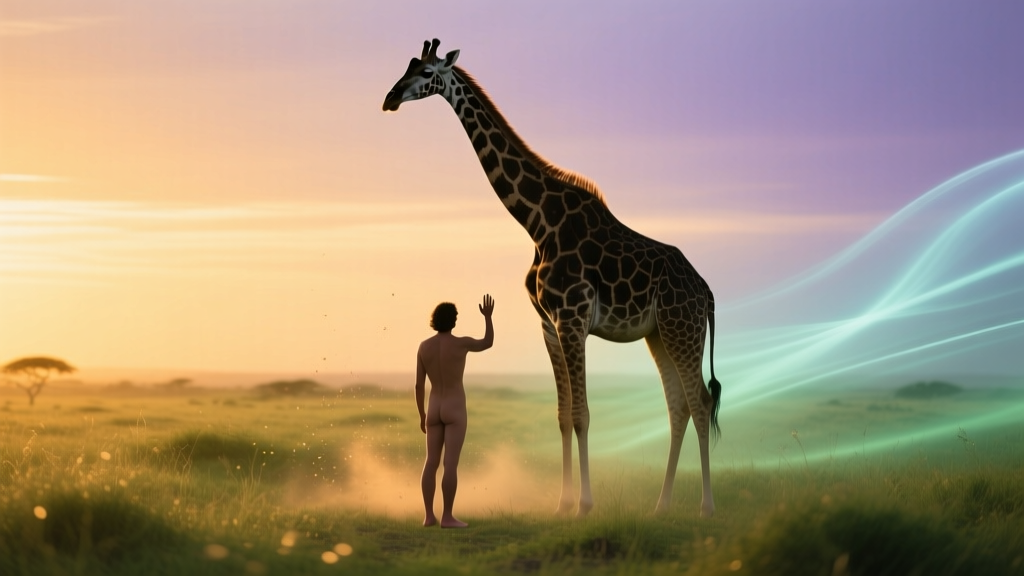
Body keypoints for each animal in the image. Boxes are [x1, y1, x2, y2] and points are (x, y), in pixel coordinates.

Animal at [383, 39, 723, 518]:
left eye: (427, 71)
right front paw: (562, 504)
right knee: (678, 407)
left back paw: (706, 507)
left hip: (681, 330)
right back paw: (661, 506)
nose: (390, 98)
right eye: (407, 66)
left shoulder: (572, 318)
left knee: (700, 402)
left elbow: (582, 414)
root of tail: (707, 293)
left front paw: (584, 504)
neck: (537, 222)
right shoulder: (548, 323)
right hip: (659, 334)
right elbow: (563, 416)